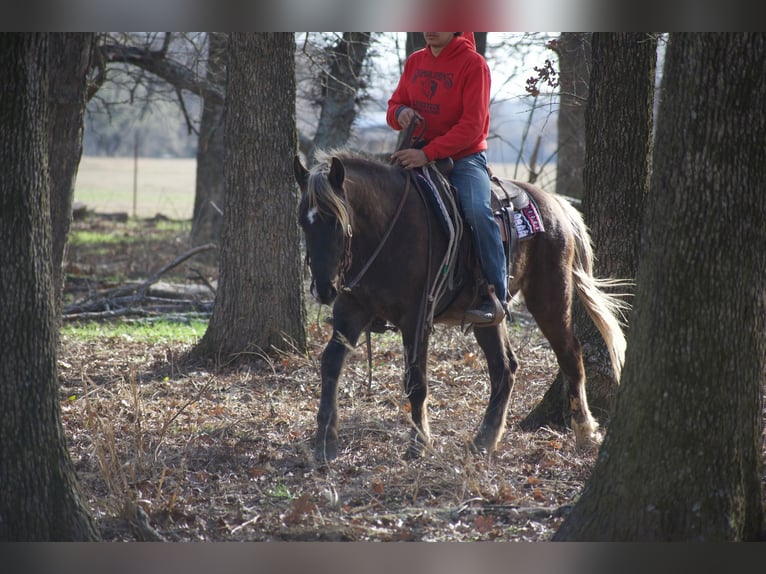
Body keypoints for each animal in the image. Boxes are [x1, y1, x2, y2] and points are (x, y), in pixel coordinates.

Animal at [293, 150, 628, 462]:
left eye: (337, 222)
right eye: (303, 223)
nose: (323, 289)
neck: (387, 230)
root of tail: (556, 205)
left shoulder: (417, 318)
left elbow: (416, 381)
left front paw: (419, 444)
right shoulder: (350, 310)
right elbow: (330, 364)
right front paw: (325, 442)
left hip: (550, 298)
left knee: (570, 355)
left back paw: (585, 432)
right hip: (488, 317)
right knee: (504, 367)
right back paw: (485, 439)